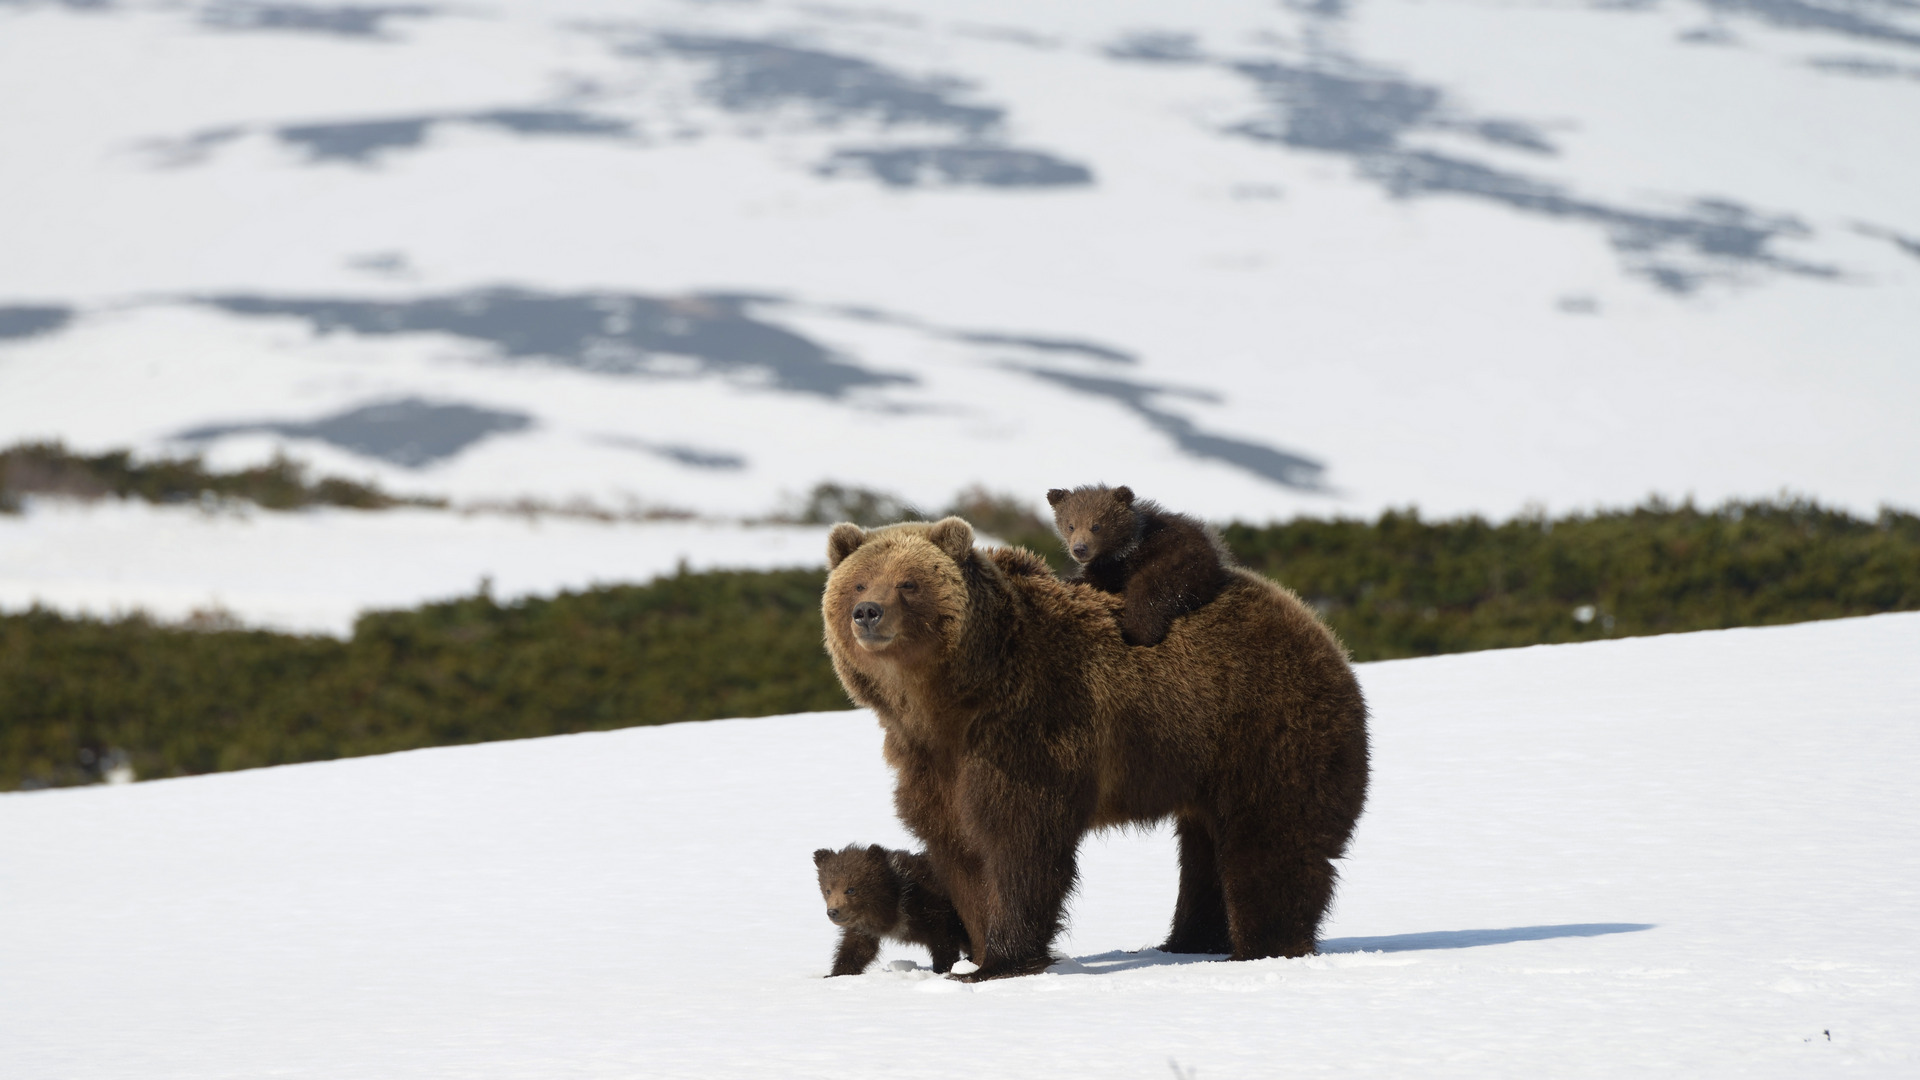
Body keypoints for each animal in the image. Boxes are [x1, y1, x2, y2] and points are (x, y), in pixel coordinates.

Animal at [810, 841, 967, 976]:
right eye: (828, 890)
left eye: (850, 889)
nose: (833, 912)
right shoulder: (863, 926)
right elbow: (857, 948)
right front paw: (836, 973)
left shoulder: (934, 909)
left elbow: (944, 942)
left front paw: (943, 969)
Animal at [1052, 488, 1228, 645]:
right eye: (1071, 526)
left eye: (1096, 526)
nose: (1079, 548)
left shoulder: (1121, 562)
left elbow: (1100, 579)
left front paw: (1071, 579)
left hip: (1174, 566)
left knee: (1146, 594)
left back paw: (1133, 634)